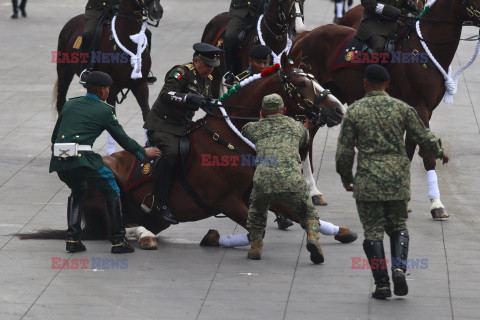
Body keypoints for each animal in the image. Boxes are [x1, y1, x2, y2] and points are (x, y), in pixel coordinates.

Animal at [290, 0, 480, 218]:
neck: (424, 51)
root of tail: (306, 35)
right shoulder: (420, 107)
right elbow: (427, 155)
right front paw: (436, 205)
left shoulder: (422, 110)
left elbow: (409, 151)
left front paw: (404, 199)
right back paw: (311, 191)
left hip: (327, 102)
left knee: (309, 137)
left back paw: (314, 191)